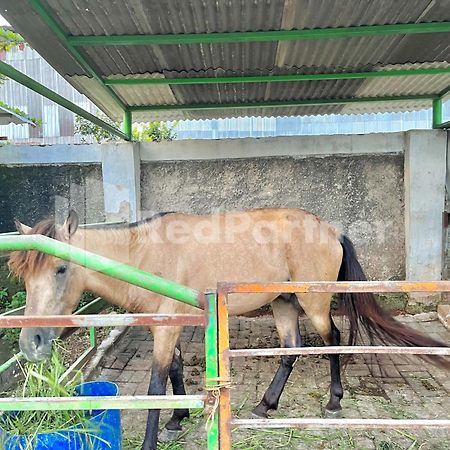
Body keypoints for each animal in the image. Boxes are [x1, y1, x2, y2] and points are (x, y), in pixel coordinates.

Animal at [7, 210, 450, 450]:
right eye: (24, 276)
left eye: (60, 268)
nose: (31, 343)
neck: (145, 256)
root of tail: (330, 229)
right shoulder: (174, 326)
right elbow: (175, 371)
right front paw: (177, 420)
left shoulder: (165, 329)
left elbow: (154, 385)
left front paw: (155, 436)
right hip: (283, 303)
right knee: (290, 349)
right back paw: (265, 405)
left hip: (315, 304)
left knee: (332, 342)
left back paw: (334, 401)